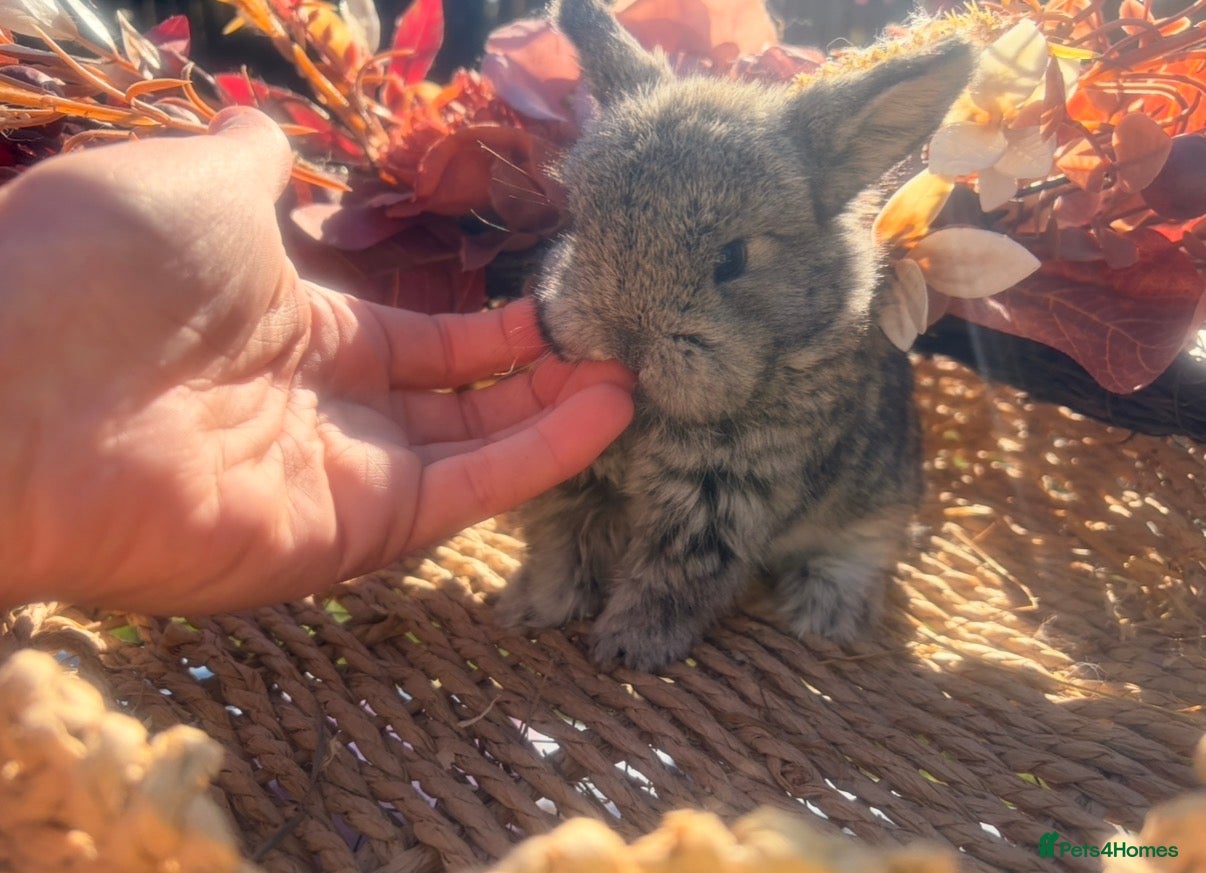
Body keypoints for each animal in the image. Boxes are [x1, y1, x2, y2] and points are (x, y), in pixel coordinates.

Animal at [496, 0, 974, 671]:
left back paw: (822, 616)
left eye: (733, 258)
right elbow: (562, 546)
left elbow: (669, 583)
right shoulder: (581, 485)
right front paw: (532, 609)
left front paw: (626, 649)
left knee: (861, 558)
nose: (624, 343)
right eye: (579, 219)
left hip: (880, 505)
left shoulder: (717, 504)